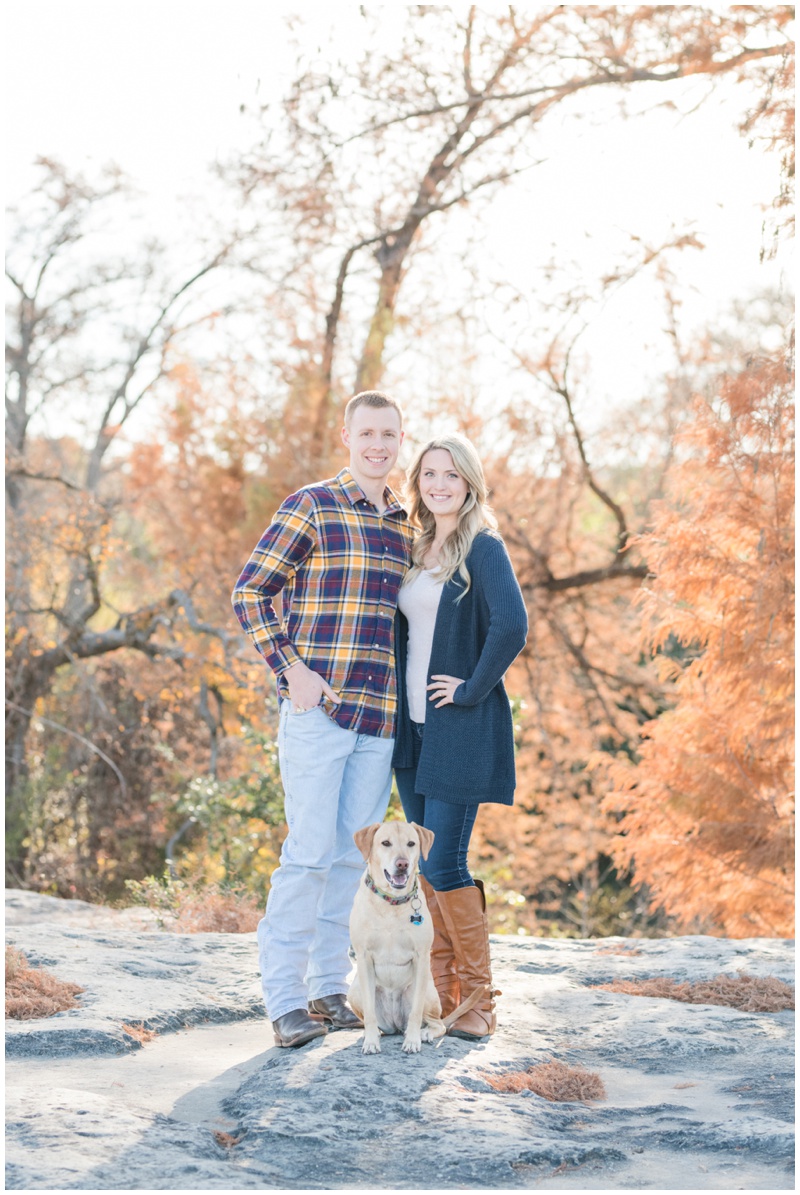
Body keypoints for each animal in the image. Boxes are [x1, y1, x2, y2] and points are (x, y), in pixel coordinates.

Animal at [346, 822, 483, 1056]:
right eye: (385, 843)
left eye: (411, 843)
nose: (402, 864)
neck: (391, 903)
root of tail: (394, 1025)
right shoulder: (363, 957)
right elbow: (370, 1014)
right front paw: (371, 1041)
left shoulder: (421, 956)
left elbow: (416, 1012)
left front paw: (412, 1041)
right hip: (353, 991)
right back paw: (372, 1034)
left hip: (426, 990)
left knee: (438, 1024)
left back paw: (424, 1033)